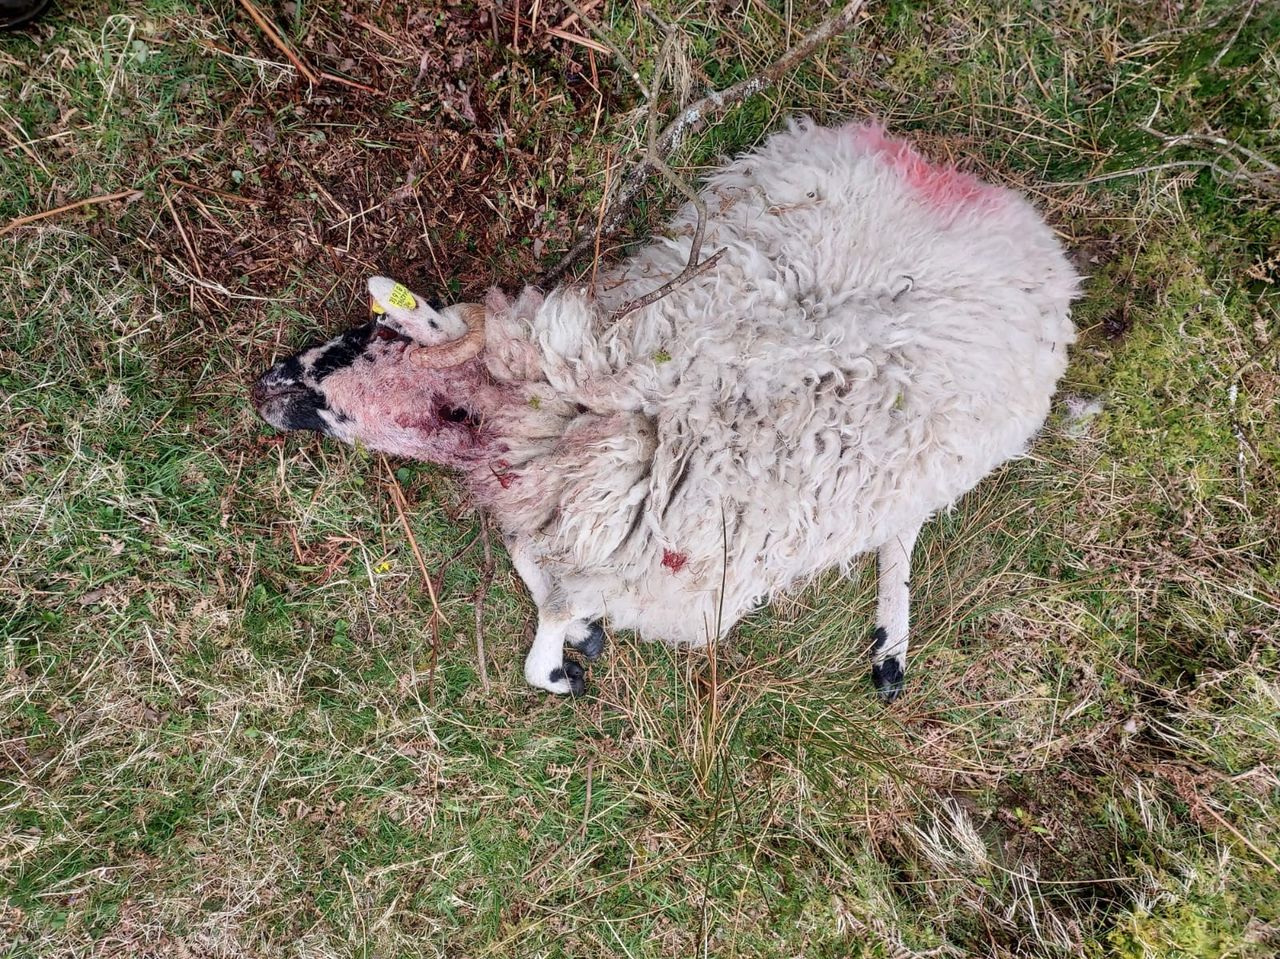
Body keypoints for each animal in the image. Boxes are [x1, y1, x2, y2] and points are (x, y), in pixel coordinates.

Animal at [251, 119, 1079, 701]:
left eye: (371, 337)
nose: (264, 385)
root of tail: (983, 195)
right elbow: (531, 558)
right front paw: (575, 634)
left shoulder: (646, 556)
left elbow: (549, 611)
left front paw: (563, 654)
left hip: (952, 460)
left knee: (905, 526)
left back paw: (891, 643)